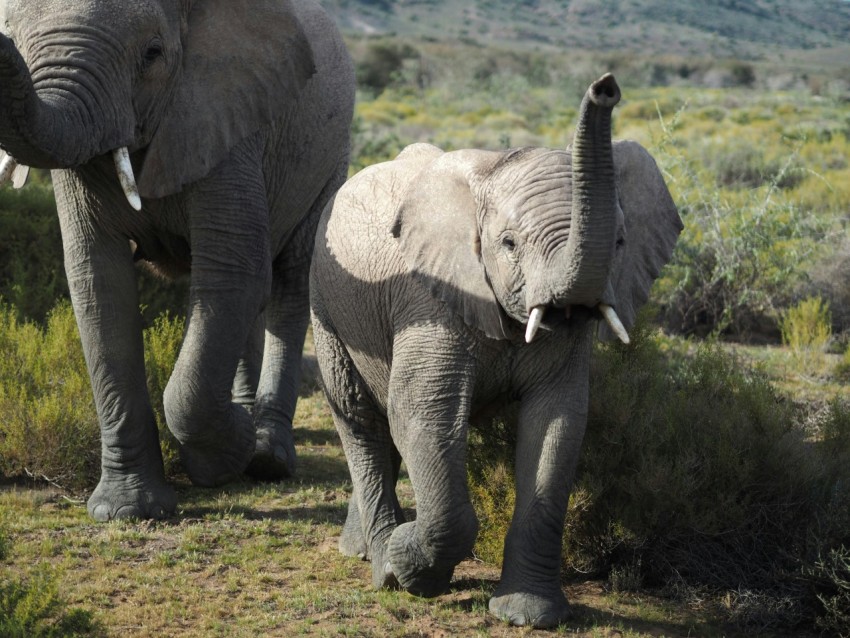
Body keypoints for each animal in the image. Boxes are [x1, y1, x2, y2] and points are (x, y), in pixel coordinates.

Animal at [0, 0, 355, 521]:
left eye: (153, 54)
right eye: (13, 37)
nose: (1, 47)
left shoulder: (226, 112)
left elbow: (232, 270)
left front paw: (230, 452)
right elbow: (97, 281)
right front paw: (126, 510)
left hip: (330, 157)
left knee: (289, 283)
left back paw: (267, 456)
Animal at [309, 74, 682, 628]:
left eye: (620, 242)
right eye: (508, 244)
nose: (606, 87)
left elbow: (556, 426)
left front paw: (527, 615)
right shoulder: (430, 297)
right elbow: (424, 413)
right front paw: (407, 568)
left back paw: (361, 551)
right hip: (325, 298)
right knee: (360, 415)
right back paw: (380, 565)